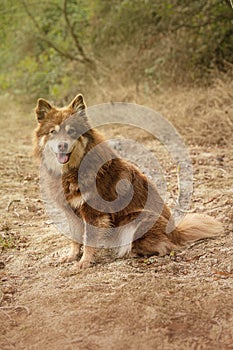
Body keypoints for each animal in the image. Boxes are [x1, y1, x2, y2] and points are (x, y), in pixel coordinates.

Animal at [33, 94, 224, 270]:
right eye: (53, 132)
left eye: (72, 131)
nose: (62, 145)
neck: (72, 169)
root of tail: (176, 232)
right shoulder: (71, 210)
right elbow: (74, 237)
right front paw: (72, 256)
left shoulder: (94, 212)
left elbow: (88, 239)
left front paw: (85, 261)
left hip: (138, 218)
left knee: (165, 246)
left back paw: (132, 251)